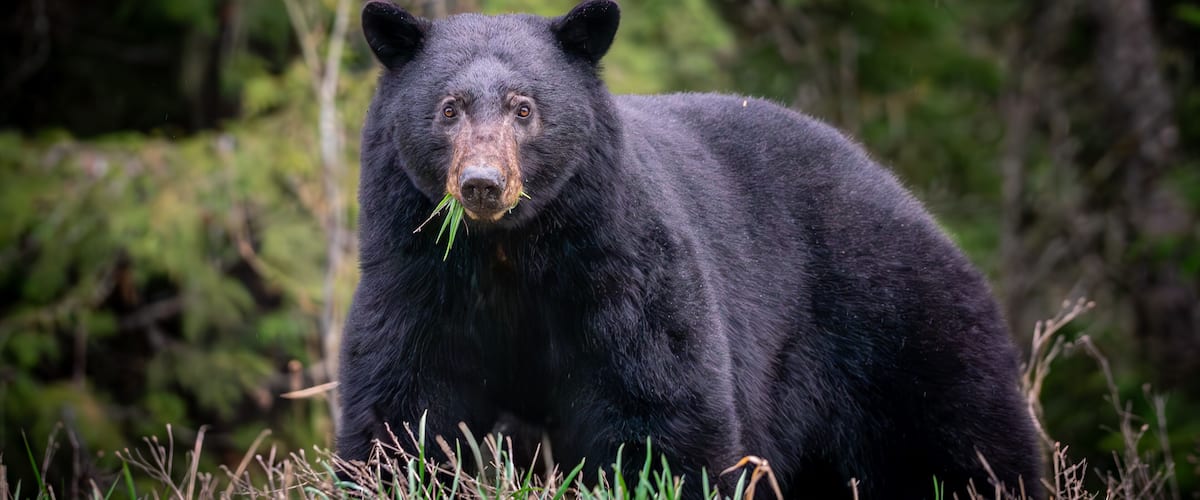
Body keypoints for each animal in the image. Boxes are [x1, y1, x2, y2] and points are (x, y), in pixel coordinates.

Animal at [339, 0, 1043, 498]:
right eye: (448, 108)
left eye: (524, 108)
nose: (483, 183)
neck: (508, 252)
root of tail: (899, 191)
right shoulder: (418, 278)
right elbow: (402, 404)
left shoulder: (622, 268)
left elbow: (662, 404)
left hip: (897, 326)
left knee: (960, 440)